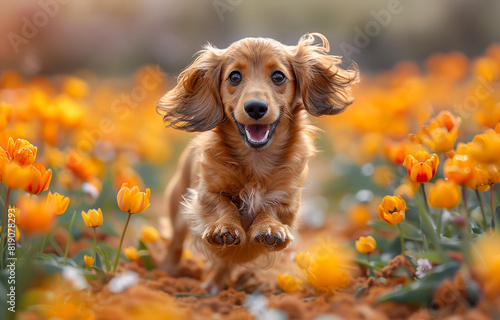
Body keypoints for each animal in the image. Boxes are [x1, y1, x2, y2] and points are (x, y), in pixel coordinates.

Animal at [158, 32, 358, 290]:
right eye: (234, 77)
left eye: (278, 76)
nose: (255, 108)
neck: (255, 161)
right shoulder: (205, 194)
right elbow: (223, 204)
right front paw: (225, 226)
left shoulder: (288, 200)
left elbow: (271, 208)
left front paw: (269, 227)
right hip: (177, 206)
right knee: (175, 242)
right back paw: (168, 272)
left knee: (226, 262)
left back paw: (215, 284)